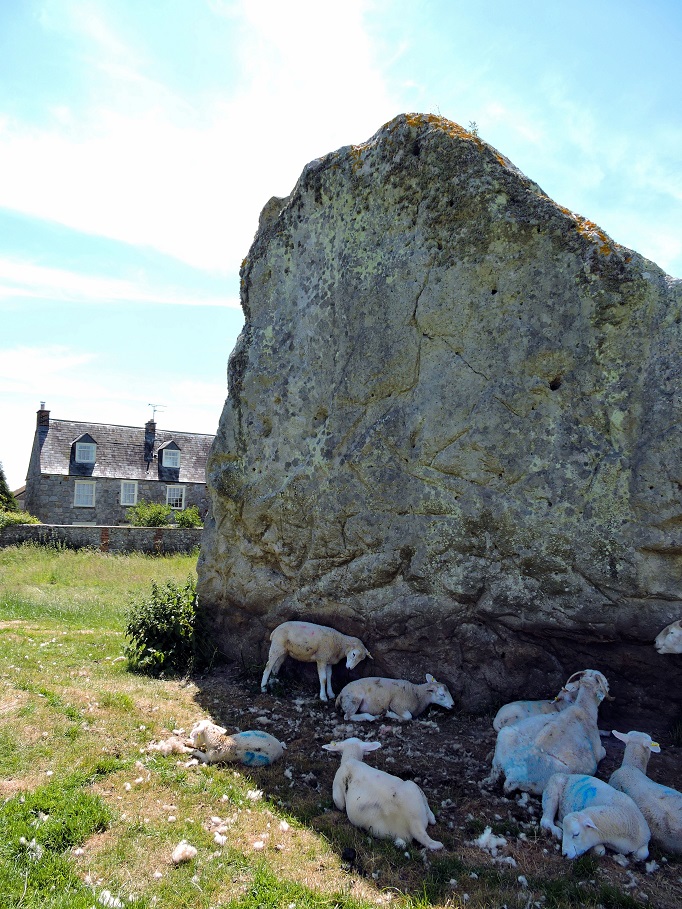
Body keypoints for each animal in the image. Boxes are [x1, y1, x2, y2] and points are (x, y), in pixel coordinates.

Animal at [486, 668, 608, 796]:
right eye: (604, 682)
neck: (583, 708)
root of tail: (512, 773)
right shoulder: (598, 751)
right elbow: (604, 751)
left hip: (506, 734)